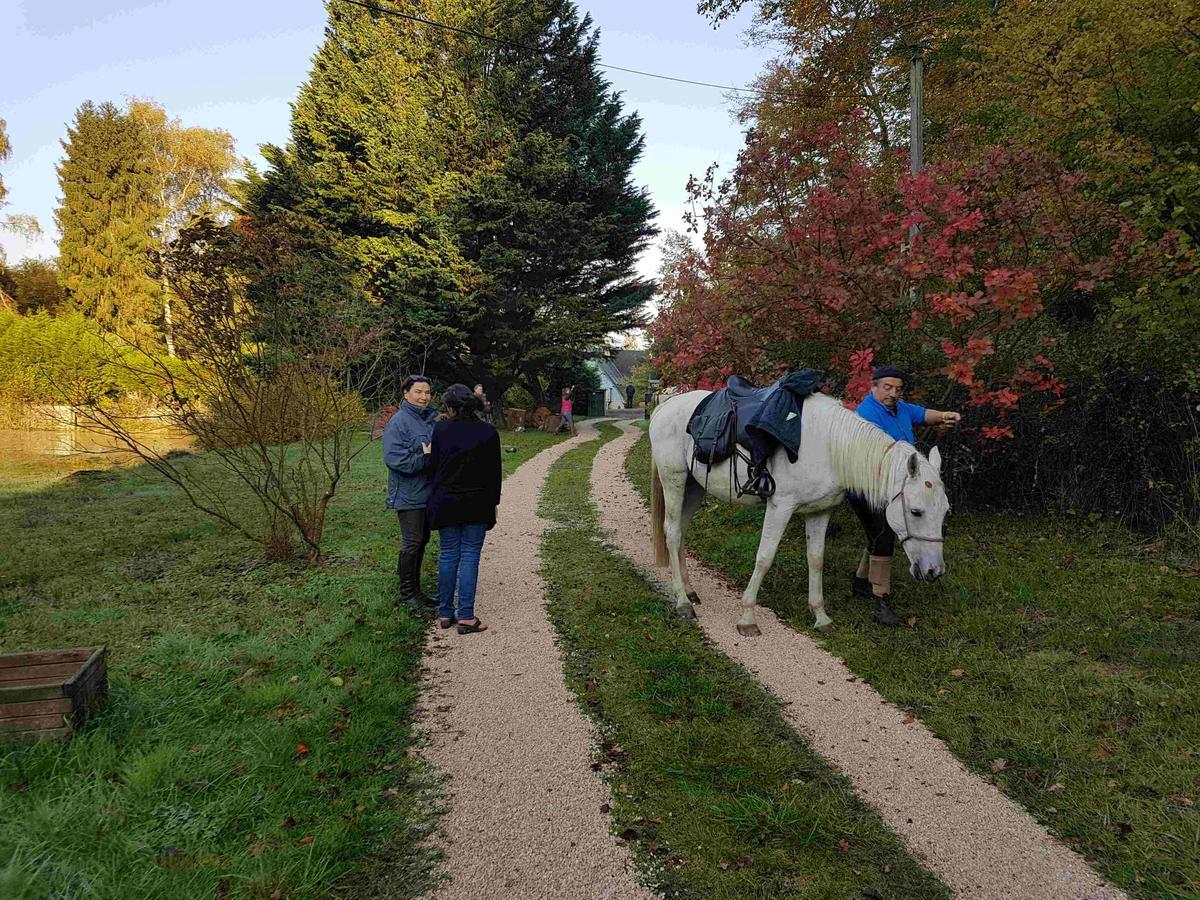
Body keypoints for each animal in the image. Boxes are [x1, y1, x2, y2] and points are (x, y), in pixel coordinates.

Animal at [652, 391, 950, 638]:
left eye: (945, 512)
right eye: (916, 511)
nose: (934, 571)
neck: (829, 447)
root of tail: (664, 405)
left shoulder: (820, 511)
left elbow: (816, 560)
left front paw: (821, 616)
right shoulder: (780, 507)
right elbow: (764, 558)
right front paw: (747, 617)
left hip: (694, 487)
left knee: (681, 532)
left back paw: (689, 591)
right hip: (674, 479)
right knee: (673, 532)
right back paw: (682, 602)